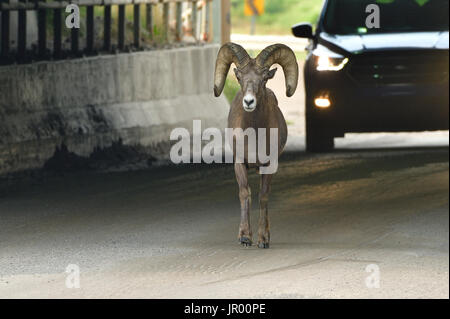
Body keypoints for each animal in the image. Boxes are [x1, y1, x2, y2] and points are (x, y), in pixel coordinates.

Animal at [213, 42, 298, 249]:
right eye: (239, 77)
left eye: (265, 77)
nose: (249, 101)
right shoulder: (239, 164)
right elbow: (245, 194)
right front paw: (244, 237)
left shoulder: (269, 165)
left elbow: (263, 196)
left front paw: (263, 239)